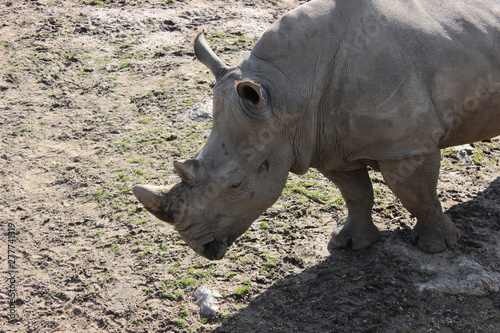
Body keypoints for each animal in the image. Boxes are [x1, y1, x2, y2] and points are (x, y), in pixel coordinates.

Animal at [133, 0, 500, 260]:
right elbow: (355, 194)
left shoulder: (407, 144)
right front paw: (350, 244)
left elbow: (417, 195)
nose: (200, 247)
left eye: (235, 184)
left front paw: (437, 248)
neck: (284, 90)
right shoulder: (327, 142)